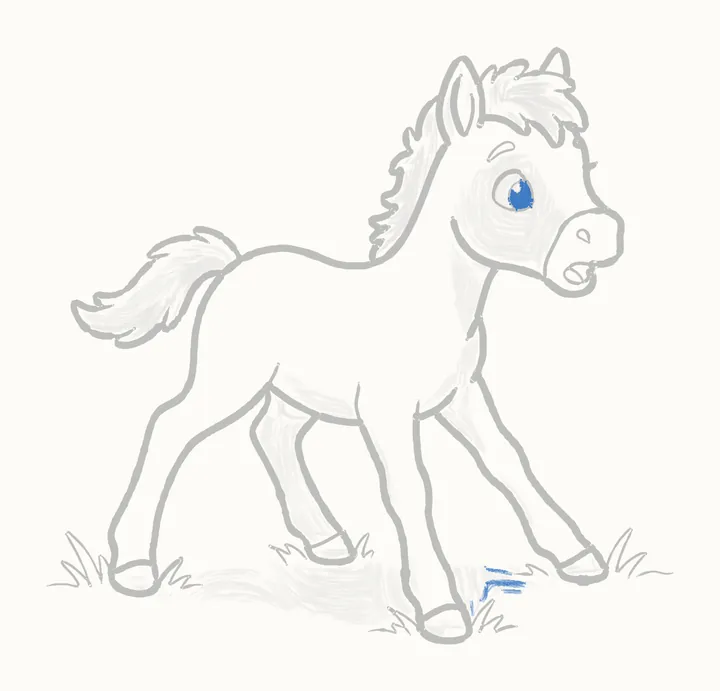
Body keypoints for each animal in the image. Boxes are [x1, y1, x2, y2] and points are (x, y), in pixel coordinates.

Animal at [71, 48, 624, 644]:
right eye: (516, 190)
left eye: (585, 168)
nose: (604, 234)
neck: (432, 307)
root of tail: (234, 263)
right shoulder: (387, 411)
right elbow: (411, 490)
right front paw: (441, 609)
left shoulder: (461, 395)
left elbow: (508, 461)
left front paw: (577, 556)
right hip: (230, 378)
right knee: (170, 426)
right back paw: (133, 565)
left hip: (297, 388)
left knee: (273, 434)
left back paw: (327, 540)